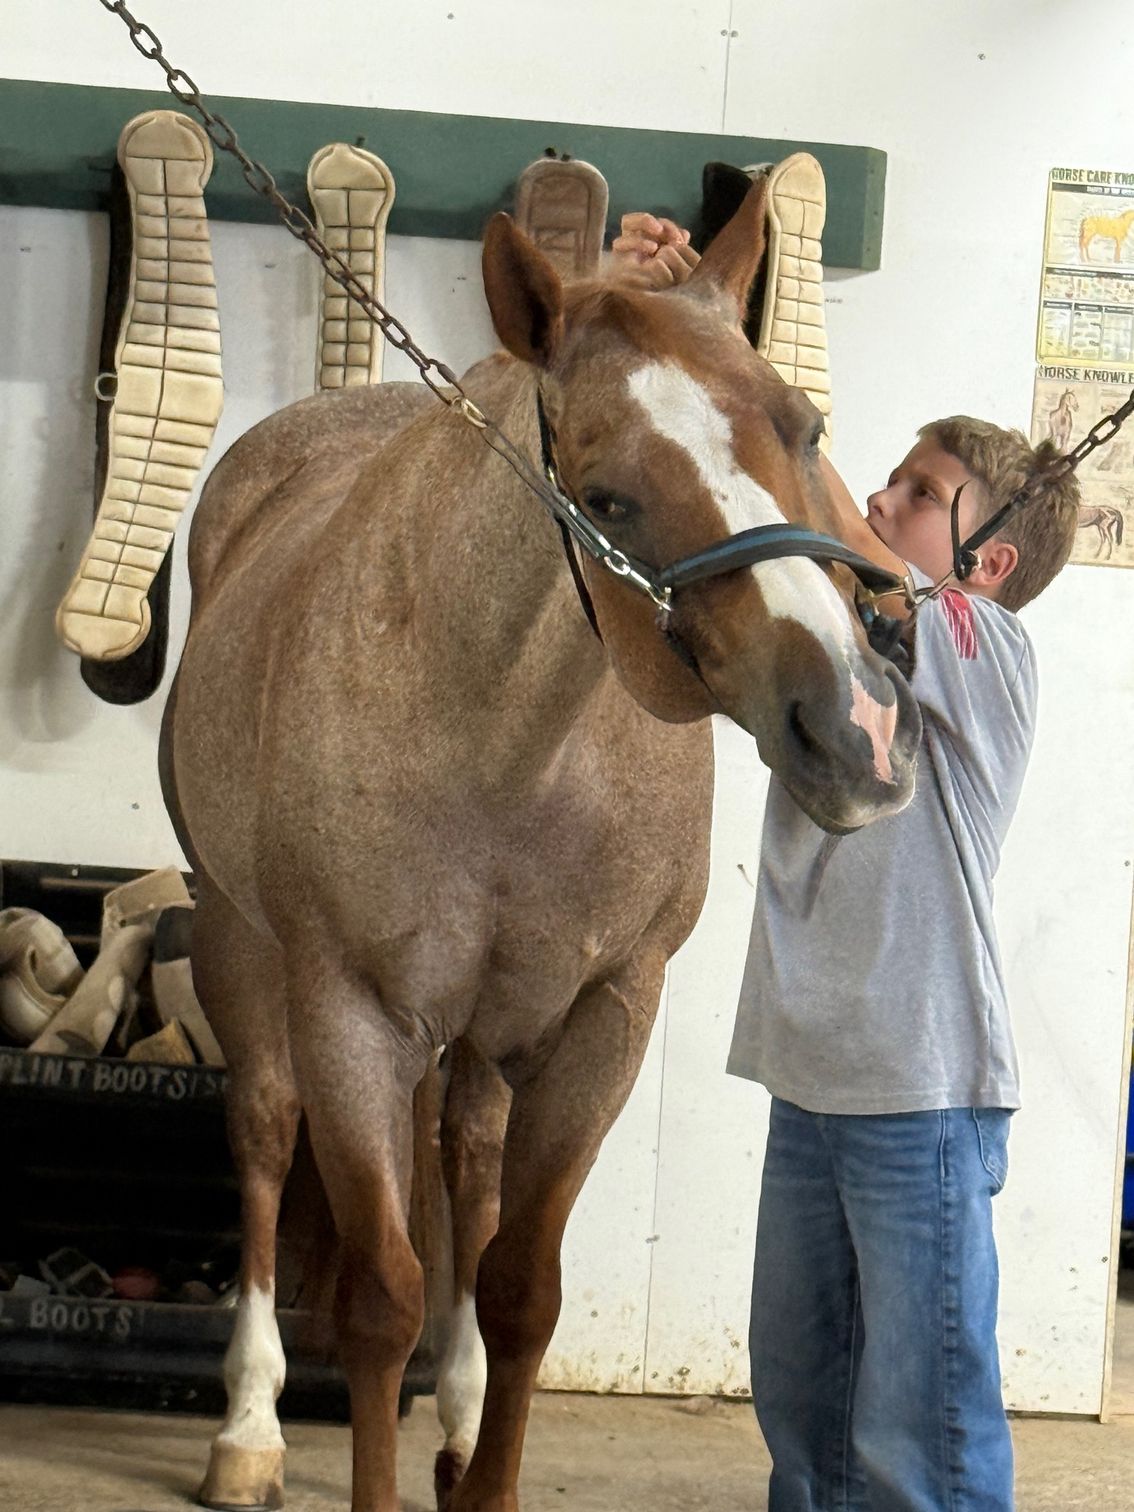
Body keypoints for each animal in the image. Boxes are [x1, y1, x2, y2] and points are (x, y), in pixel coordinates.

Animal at [160, 182, 922, 1512]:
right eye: (607, 497)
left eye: (807, 427)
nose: (856, 729)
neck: (505, 745)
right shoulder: (353, 1014)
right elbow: (383, 1298)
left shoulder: (605, 1013)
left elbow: (520, 1283)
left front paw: (488, 1460)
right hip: (239, 945)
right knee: (262, 1134)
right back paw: (249, 1426)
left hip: (486, 1030)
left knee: (469, 1157)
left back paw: (461, 1417)